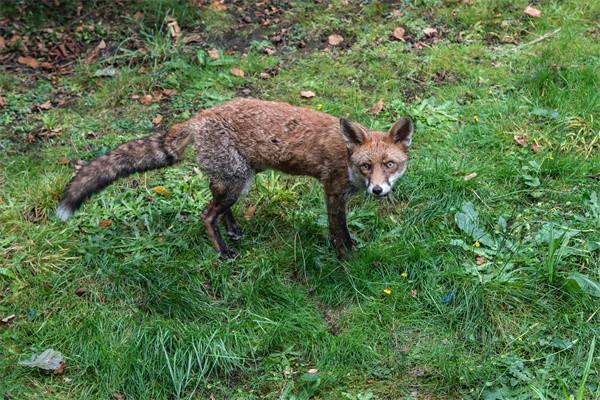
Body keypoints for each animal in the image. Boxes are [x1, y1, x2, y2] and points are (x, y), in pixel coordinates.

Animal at [55, 98, 412, 258]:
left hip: (239, 180)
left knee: (217, 207)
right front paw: (347, 259)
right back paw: (223, 251)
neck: (346, 158)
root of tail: (197, 117)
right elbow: (340, 232)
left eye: (389, 165)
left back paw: (234, 230)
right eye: (366, 166)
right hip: (236, 182)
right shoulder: (333, 192)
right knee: (206, 214)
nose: (377, 190)